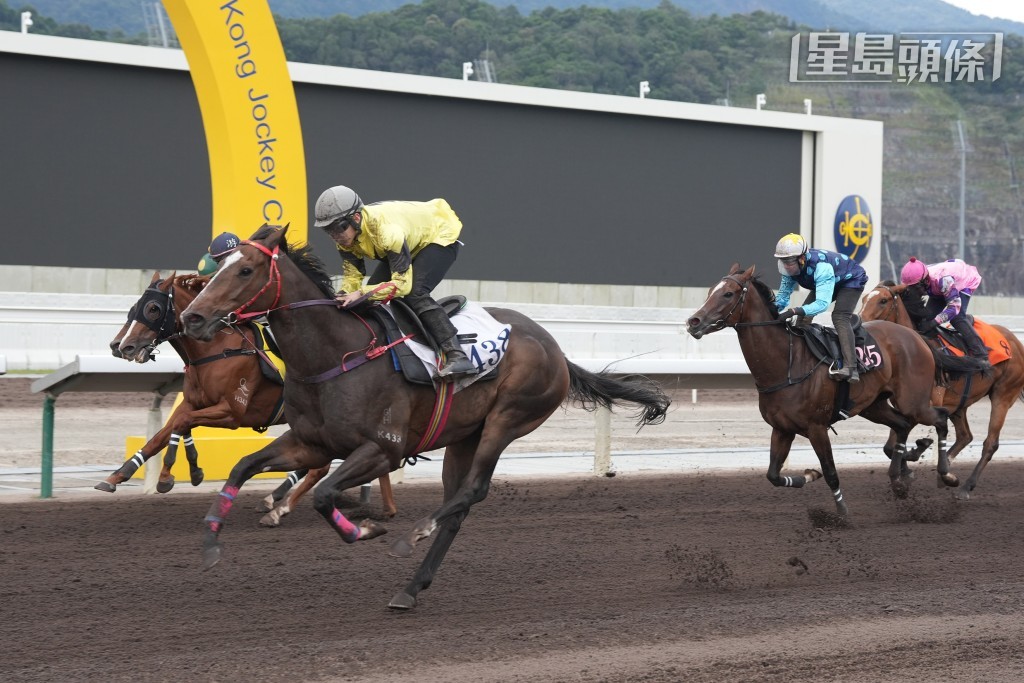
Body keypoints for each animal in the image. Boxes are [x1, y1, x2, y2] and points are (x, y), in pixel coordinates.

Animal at [105, 272, 398, 522]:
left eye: (153, 308)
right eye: (134, 306)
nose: (122, 346)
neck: (216, 350)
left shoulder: (232, 411)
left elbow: (180, 424)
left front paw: (169, 476)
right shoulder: (191, 403)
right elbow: (163, 434)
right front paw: (118, 475)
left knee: (322, 467)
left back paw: (281, 507)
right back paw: (385, 507)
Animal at [179, 224, 670, 610]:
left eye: (244, 270)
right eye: (214, 270)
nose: (192, 317)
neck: (335, 355)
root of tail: (556, 349)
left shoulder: (384, 449)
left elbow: (323, 495)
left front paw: (367, 529)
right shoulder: (309, 443)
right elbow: (242, 467)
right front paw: (210, 543)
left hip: (507, 420)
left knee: (472, 491)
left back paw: (412, 535)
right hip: (464, 436)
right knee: (458, 506)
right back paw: (411, 587)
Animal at [685, 264, 985, 519]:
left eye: (728, 293)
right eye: (710, 291)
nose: (693, 321)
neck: (786, 363)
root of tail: (917, 338)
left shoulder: (816, 427)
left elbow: (831, 471)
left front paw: (840, 513)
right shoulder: (782, 428)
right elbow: (773, 475)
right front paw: (809, 475)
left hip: (913, 400)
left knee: (940, 418)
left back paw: (947, 475)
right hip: (873, 405)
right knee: (902, 425)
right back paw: (900, 479)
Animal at [860, 281, 1024, 499]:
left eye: (883, 300)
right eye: (863, 298)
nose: (860, 324)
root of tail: (1015, 342)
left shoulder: (924, 404)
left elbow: (899, 438)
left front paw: (916, 452)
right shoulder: (908, 404)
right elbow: (889, 446)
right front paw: (908, 470)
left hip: (1003, 395)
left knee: (990, 443)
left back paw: (966, 486)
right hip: (960, 403)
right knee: (965, 436)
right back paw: (946, 472)